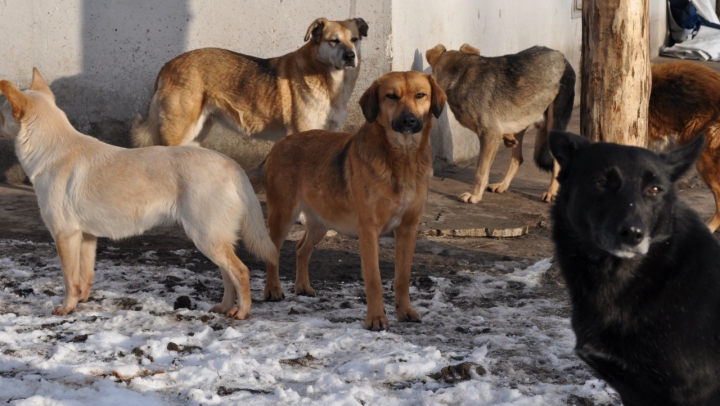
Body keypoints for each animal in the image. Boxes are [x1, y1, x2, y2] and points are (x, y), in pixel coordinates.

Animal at [0, 68, 278, 318]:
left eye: (1, 114)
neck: (52, 150)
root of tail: (233, 165)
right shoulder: (87, 237)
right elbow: (85, 276)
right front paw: (82, 302)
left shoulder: (64, 235)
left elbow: (70, 279)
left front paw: (66, 308)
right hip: (214, 239)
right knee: (228, 275)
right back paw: (225, 308)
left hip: (206, 236)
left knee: (241, 272)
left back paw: (242, 312)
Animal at [250, 70, 448, 330]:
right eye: (391, 96)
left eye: (420, 95)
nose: (408, 121)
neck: (401, 158)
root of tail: (278, 145)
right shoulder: (368, 230)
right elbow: (373, 279)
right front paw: (376, 318)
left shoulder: (408, 228)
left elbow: (402, 277)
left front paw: (404, 311)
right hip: (283, 215)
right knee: (274, 251)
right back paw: (273, 290)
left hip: (321, 221)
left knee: (301, 248)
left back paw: (302, 286)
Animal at [428, 44, 572, 203]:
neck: (458, 75)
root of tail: (562, 56)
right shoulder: (494, 136)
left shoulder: (489, 136)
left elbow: (480, 171)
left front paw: (475, 195)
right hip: (521, 120)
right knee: (518, 158)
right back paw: (502, 184)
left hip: (554, 126)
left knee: (558, 162)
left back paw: (551, 192)